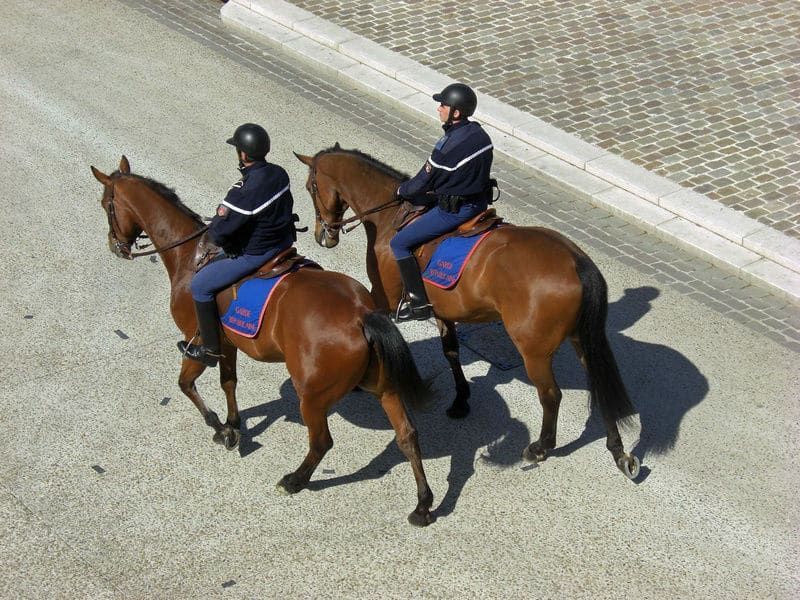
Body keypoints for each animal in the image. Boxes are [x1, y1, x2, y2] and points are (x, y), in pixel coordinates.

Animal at [90, 156, 434, 524]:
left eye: (106, 205)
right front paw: (233, 422)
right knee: (407, 436)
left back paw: (295, 480)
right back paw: (423, 504)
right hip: (385, 388)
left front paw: (221, 429)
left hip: (312, 397)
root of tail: (362, 314)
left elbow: (186, 384)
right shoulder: (227, 345)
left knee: (322, 442)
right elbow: (228, 382)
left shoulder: (197, 340)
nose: (115, 246)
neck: (189, 254)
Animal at [296, 148, 640, 480]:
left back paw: (540, 447)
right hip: (581, 339)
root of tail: (575, 259)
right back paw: (619, 453)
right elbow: (451, 352)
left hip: (535, 351)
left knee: (551, 395)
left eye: (310, 187)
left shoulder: (382, 301)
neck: (390, 218)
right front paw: (461, 399)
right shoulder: (442, 310)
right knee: (599, 387)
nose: (323, 236)